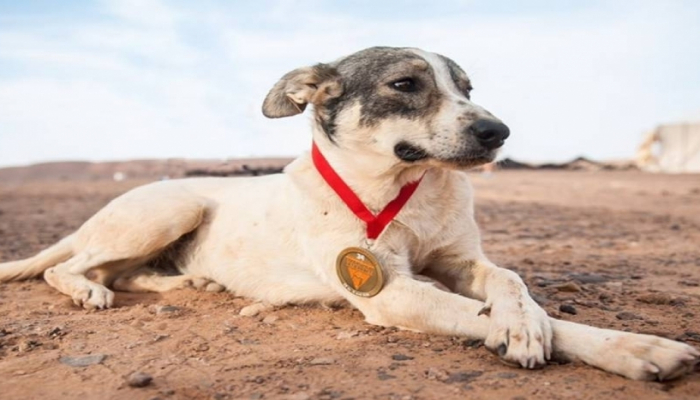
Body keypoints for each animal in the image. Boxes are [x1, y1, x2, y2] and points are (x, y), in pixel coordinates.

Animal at [0, 45, 696, 380]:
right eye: (406, 85)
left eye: (467, 89)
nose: (498, 132)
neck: (398, 188)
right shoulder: (391, 292)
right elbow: (514, 318)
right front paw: (634, 348)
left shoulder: (460, 259)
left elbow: (510, 280)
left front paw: (524, 320)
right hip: (172, 206)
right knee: (70, 268)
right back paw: (89, 291)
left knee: (125, 272)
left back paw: (189, 281)